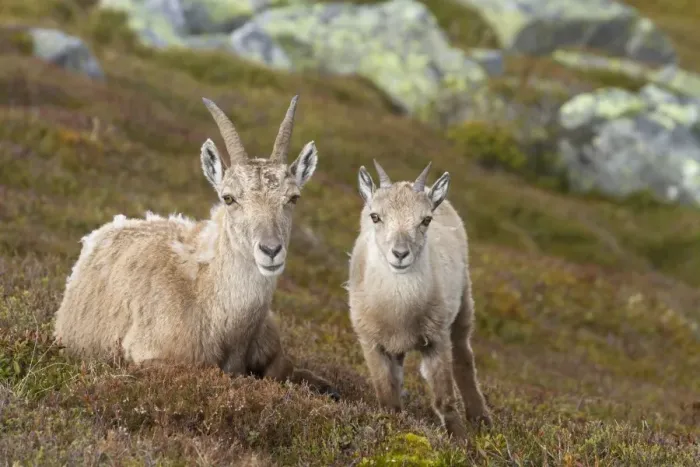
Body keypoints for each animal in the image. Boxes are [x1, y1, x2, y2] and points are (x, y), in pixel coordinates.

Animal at [346, 160, 491, 440]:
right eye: (375, 216)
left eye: (426, 219)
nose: (400, 254)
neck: (399, 309)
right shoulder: (371, 342)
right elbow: (387, 396)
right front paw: (393, 425)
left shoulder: (436, 338)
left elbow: (445, 399)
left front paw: (461, 440)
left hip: (463, 305)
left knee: (464, 358)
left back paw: (481, 419)